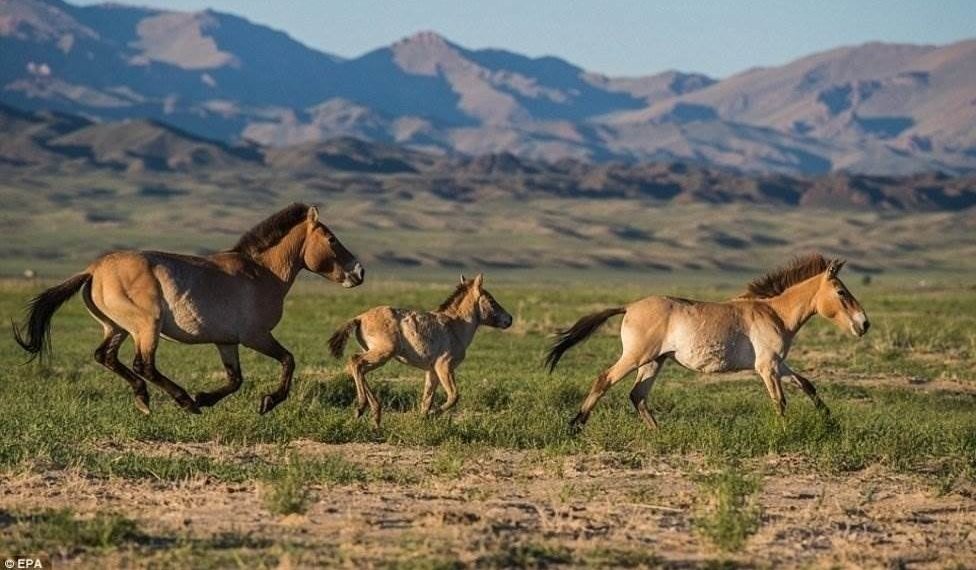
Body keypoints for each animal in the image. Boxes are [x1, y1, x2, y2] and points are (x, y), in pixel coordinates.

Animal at [13, 203, 364, 412]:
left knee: (106, 357)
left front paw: (206, 397)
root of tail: (92, 270)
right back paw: (181, 400)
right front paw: (267, 401)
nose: (359, 272)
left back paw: (146, 400)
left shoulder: (227, 341)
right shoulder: (255, 336)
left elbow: (236, 379)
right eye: (332, 239)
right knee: (143, 365)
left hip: (117, 327)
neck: (261, 273)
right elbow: (288, 360)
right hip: (146, 326)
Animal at [328, 272, 516, 424]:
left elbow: (427, 400)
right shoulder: (444, 366)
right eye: (491, 299)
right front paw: (431, 415)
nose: (509, 319)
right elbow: (453, 396)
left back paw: (374, 414)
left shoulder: (432, 371)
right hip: (382, 353)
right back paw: (361, 408)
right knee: (355, 361)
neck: (455, 325)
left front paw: (422, 420)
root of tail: (359, 318)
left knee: (360, 368)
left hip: (376, 355)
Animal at [544, 254, 872, 430]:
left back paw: (660, 434)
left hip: (654, 362)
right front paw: (784, 432)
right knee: (604, 380)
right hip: (637, 357)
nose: (864, 324)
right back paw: (575, 425)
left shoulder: (778, 364)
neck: (774, 313)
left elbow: (807, 385)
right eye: (841, 292)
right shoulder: (767, 367)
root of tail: (628, 307)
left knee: (638, 396)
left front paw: (831, 423)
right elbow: (780, 401)